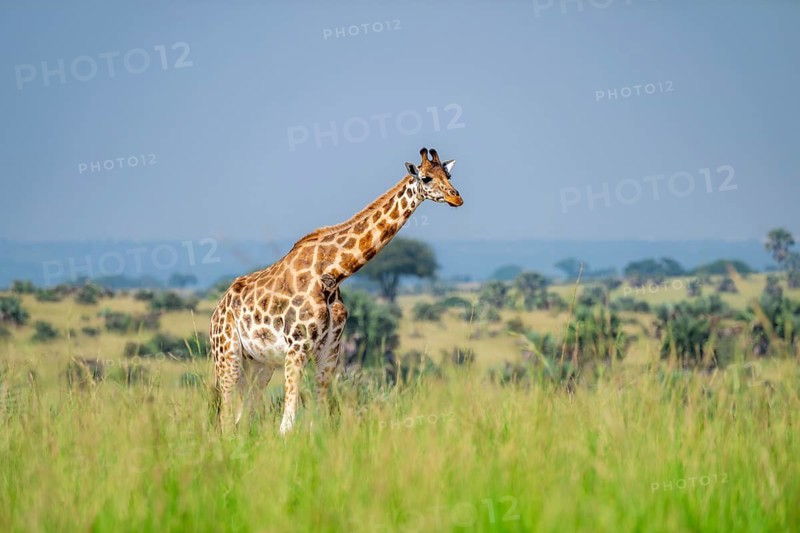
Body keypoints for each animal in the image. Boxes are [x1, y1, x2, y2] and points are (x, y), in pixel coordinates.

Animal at [210, 147, 463, 434]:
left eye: (449, 175)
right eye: (426, 178)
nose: (456, 197)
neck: (333, 274)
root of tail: (218, 308)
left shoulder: (330, 350)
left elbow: (319, 416)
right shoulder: (297, 347)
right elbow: (287, 424)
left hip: (259, 364)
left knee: (242, 417)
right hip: (227, 354)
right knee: (225, 417)